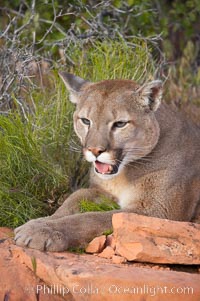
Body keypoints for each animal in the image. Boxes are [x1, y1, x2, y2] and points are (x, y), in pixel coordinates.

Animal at [14, 73, 200, 251]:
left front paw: (41, 231)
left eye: (120, 124)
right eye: (85, 120)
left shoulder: (157, 211)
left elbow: (91, 218)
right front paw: (40, 222)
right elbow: (74, 198)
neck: (122, 176)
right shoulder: (101, 191)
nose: (95, 150)